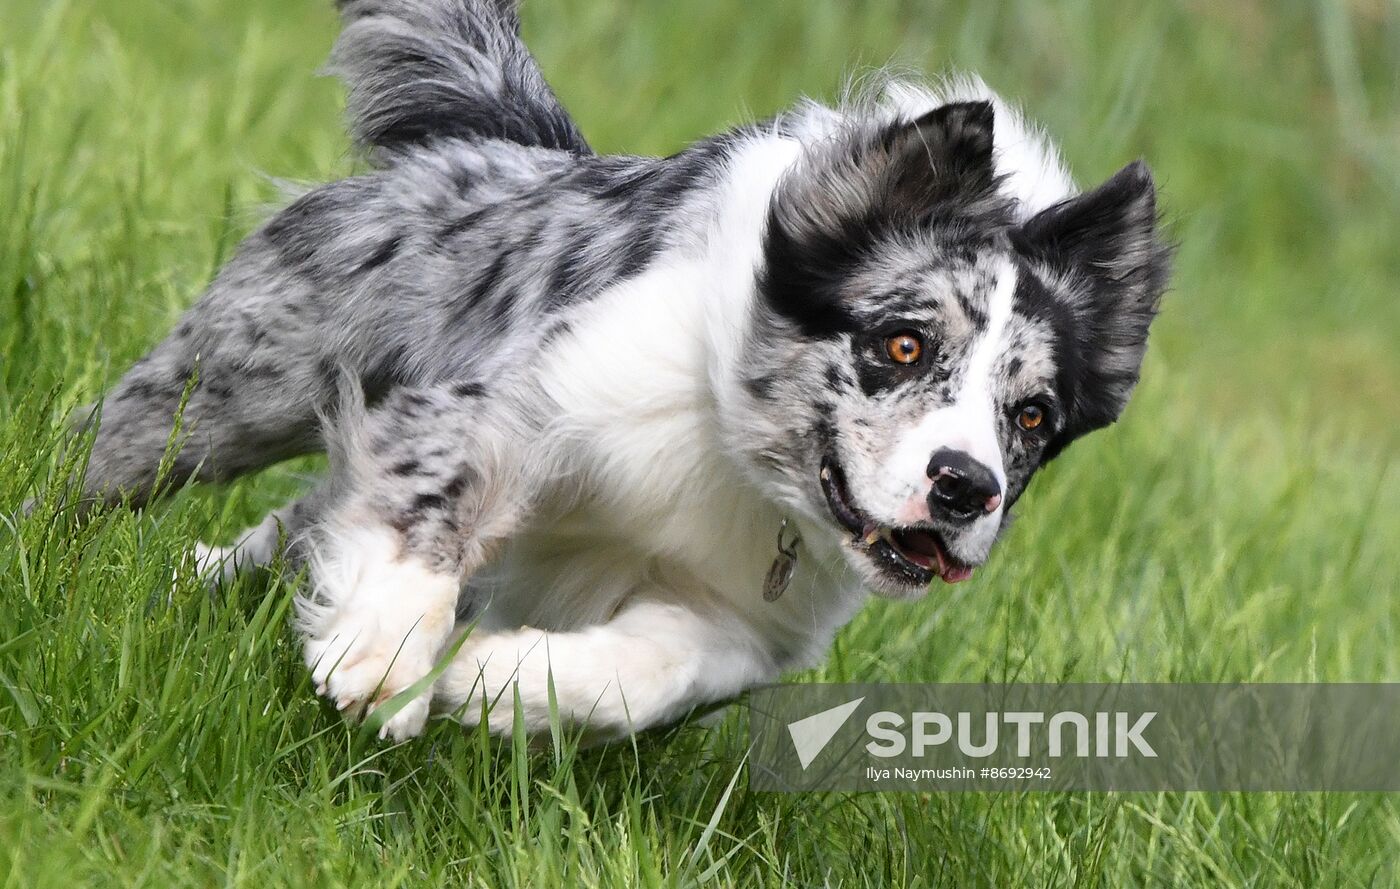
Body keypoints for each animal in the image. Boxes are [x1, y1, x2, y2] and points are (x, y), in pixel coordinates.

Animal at [76, 0, 1170, 744]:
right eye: (901, 343)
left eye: (1030, 416)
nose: (964, 488)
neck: (734, 455)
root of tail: (502, 140)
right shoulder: (515, 403)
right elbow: (437, 501)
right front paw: (383, 655)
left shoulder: (754, 618)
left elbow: (664, 665)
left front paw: (492, 680)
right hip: (233, 383)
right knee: (117, 457)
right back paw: (74, 548)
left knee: (295, 521)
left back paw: (198, 575)